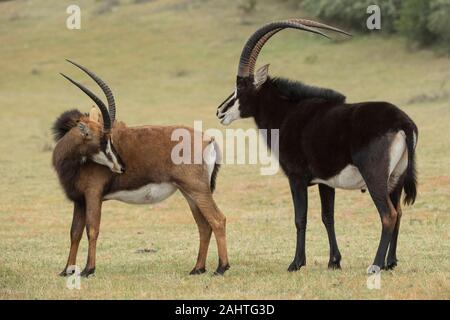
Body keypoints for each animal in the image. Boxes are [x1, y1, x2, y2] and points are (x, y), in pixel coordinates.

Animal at [53, 60, 229, 278]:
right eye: (102, 140)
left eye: (109, 138)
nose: (121, 167)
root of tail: (209, 139)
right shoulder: (79, 200)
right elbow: (74, 233)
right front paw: (66, 270)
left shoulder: (93, 195)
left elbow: (92, 229)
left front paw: (88, 270)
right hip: (189, 192)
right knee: (204, 225)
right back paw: (198, 268)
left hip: (197, 189)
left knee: (218, 219)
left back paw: (221, 267)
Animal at [216, 18, 416, 274]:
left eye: (241, 87)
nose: (220, 112)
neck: (287, 113)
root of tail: (402, 122)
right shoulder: (326, 182)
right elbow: (327, 216)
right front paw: (334, 261)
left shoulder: (296, 178)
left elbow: (300, 217)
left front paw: (296, 263)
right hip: (396, 180)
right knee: (398, 212)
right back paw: (391, 262)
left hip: (375, 178)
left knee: (388, 214)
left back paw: (376, 264)